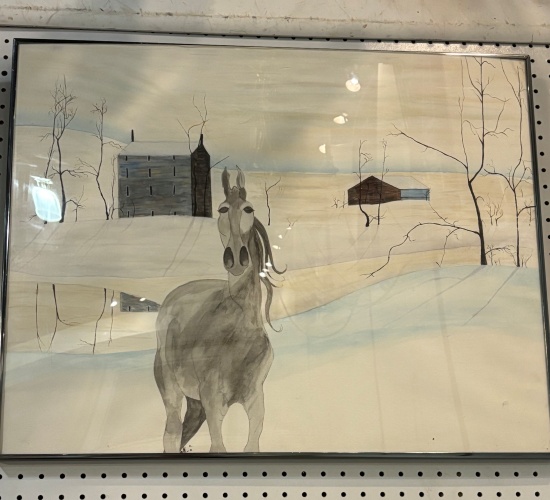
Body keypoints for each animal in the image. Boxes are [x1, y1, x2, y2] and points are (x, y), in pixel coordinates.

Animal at [154, 167, 284, 453]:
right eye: (222, 209)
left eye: (248, 209)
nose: (236, 258)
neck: (239, 332)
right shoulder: (213, 402)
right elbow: (218, 448)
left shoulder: (256, 401)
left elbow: (252, 447)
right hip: (173, 391)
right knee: (171, 434)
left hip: (195, 402)